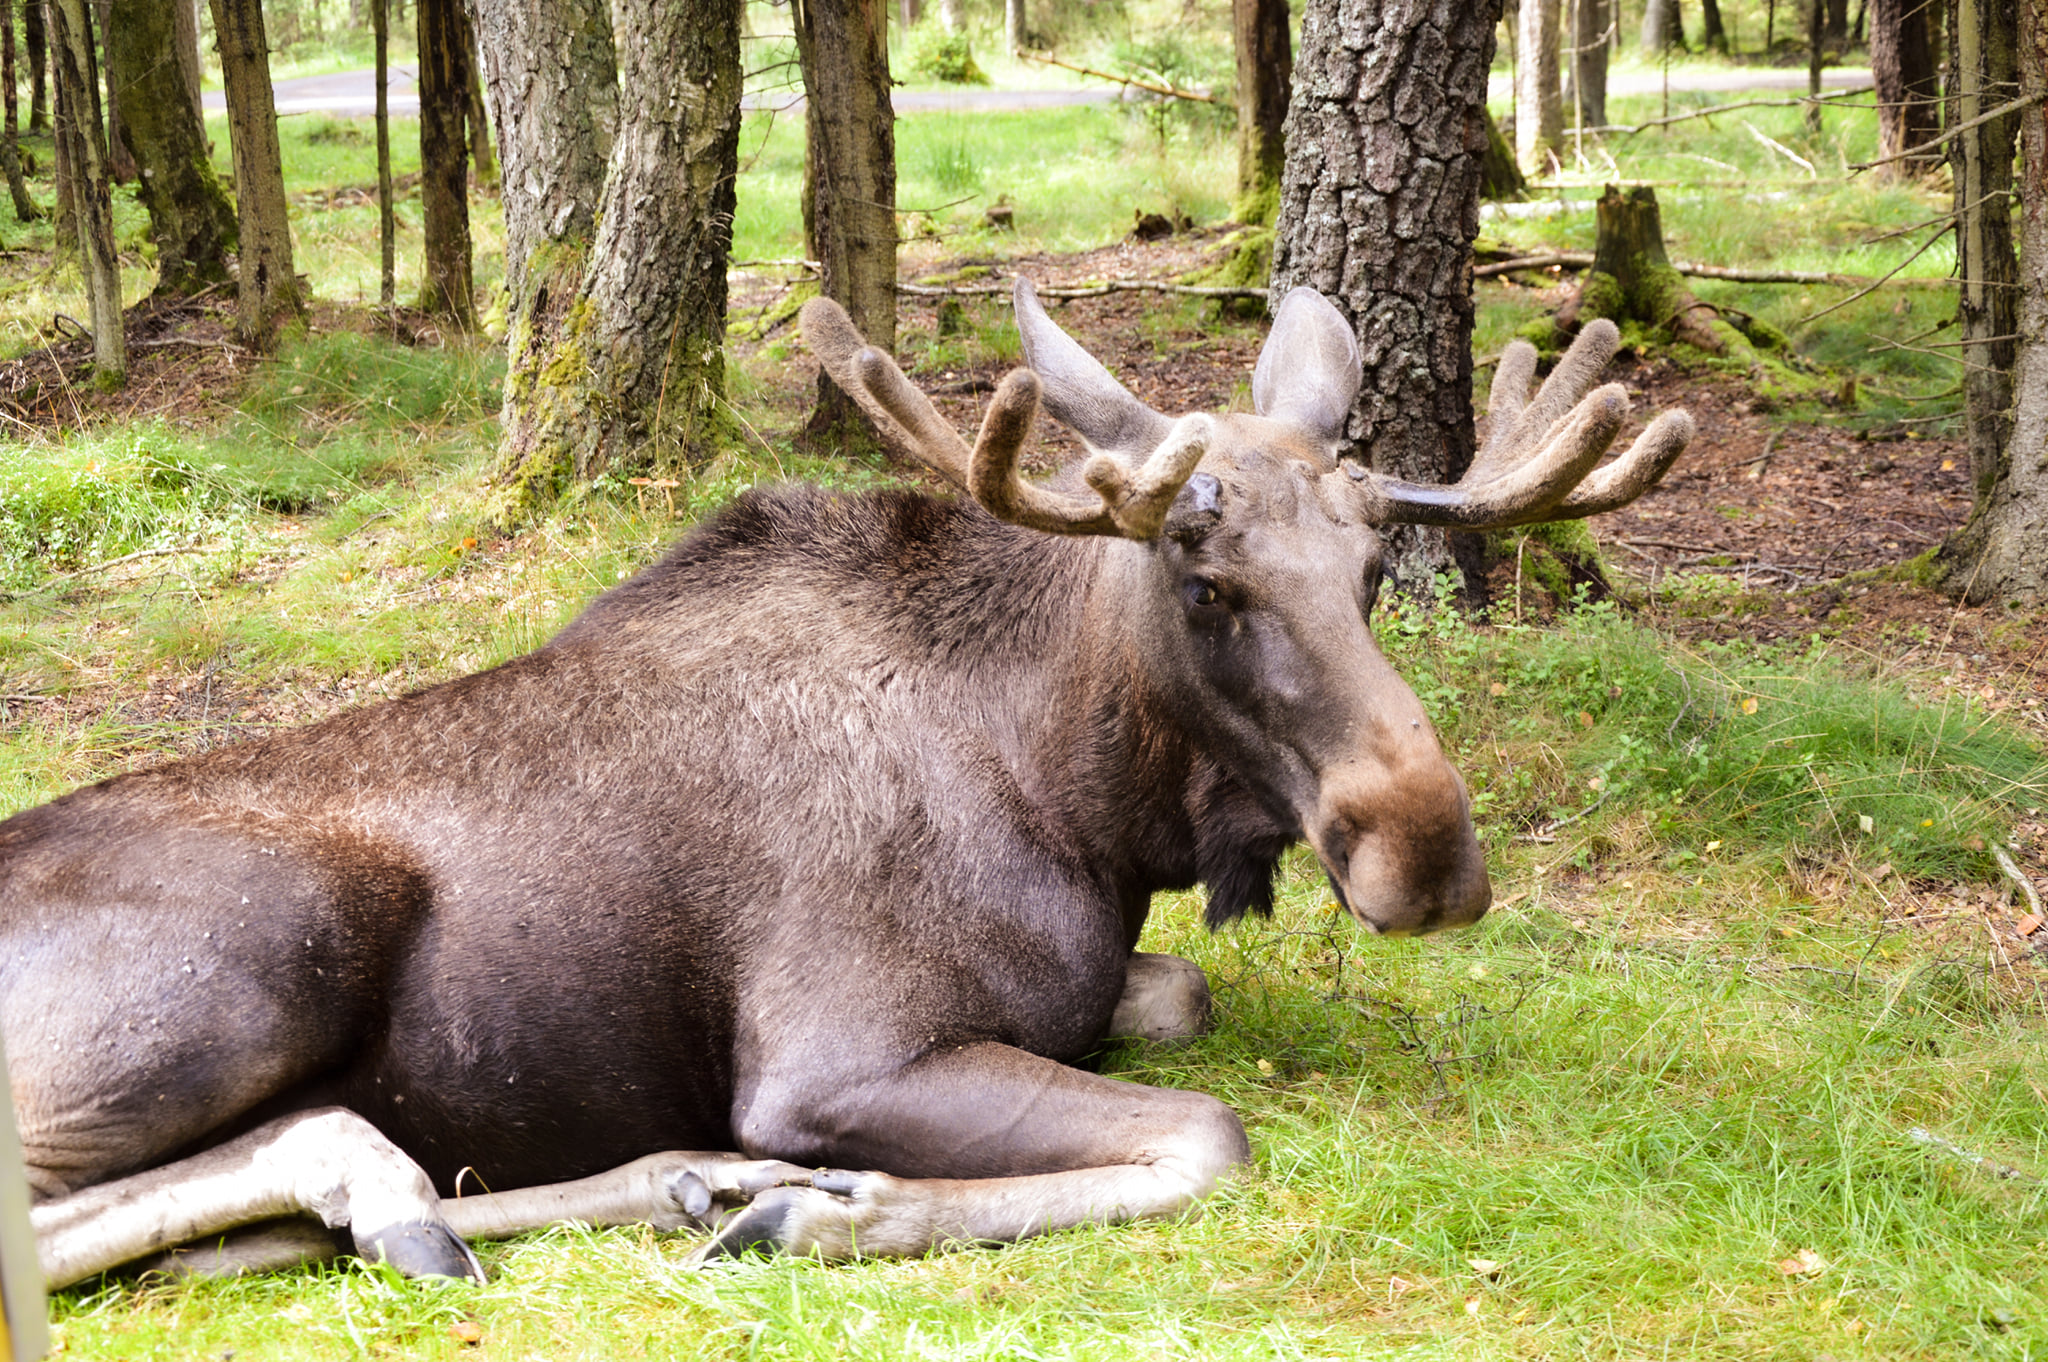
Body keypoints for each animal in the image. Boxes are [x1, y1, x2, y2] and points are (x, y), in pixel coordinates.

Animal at [0, 280, 1687, 1278]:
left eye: (1373, 569)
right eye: (1206, 583)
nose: (1430, 851)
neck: (1085, 801)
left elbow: (1182, 998)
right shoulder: (835, 1058)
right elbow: (1210, 1130)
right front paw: (828, 1201)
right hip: (276, 943)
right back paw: (393, 1189)